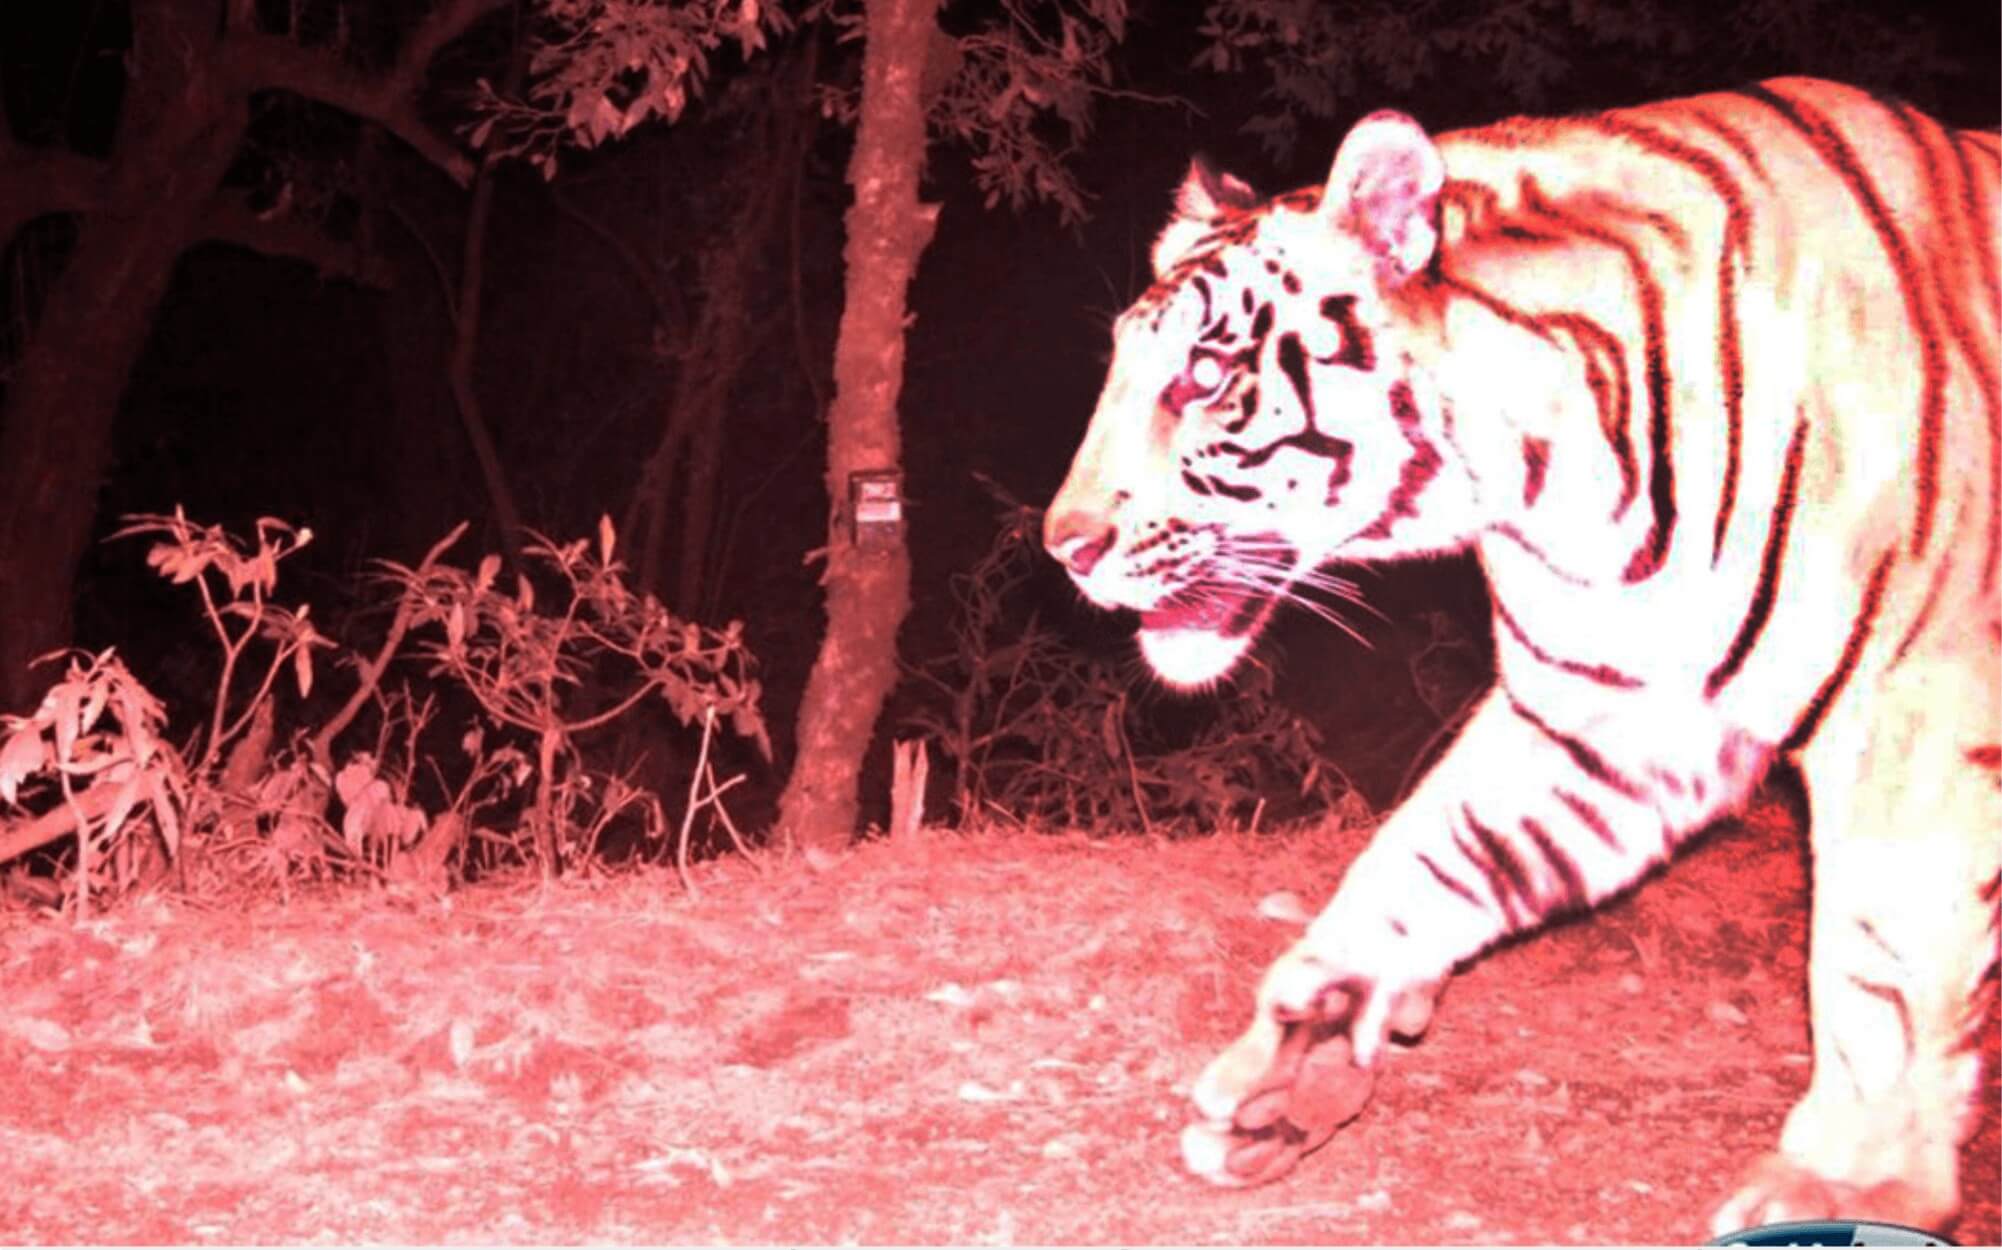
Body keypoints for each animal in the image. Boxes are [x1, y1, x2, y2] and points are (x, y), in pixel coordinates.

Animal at [1042, 77, 1999, 1236]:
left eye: (1207, 373)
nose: (1062, 545)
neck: (1557, 479)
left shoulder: (1910, 710)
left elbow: (1878, 957)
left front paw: (1851, 1181)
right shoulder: (1611, 717)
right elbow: (1425, 857)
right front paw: (1301, 1057)